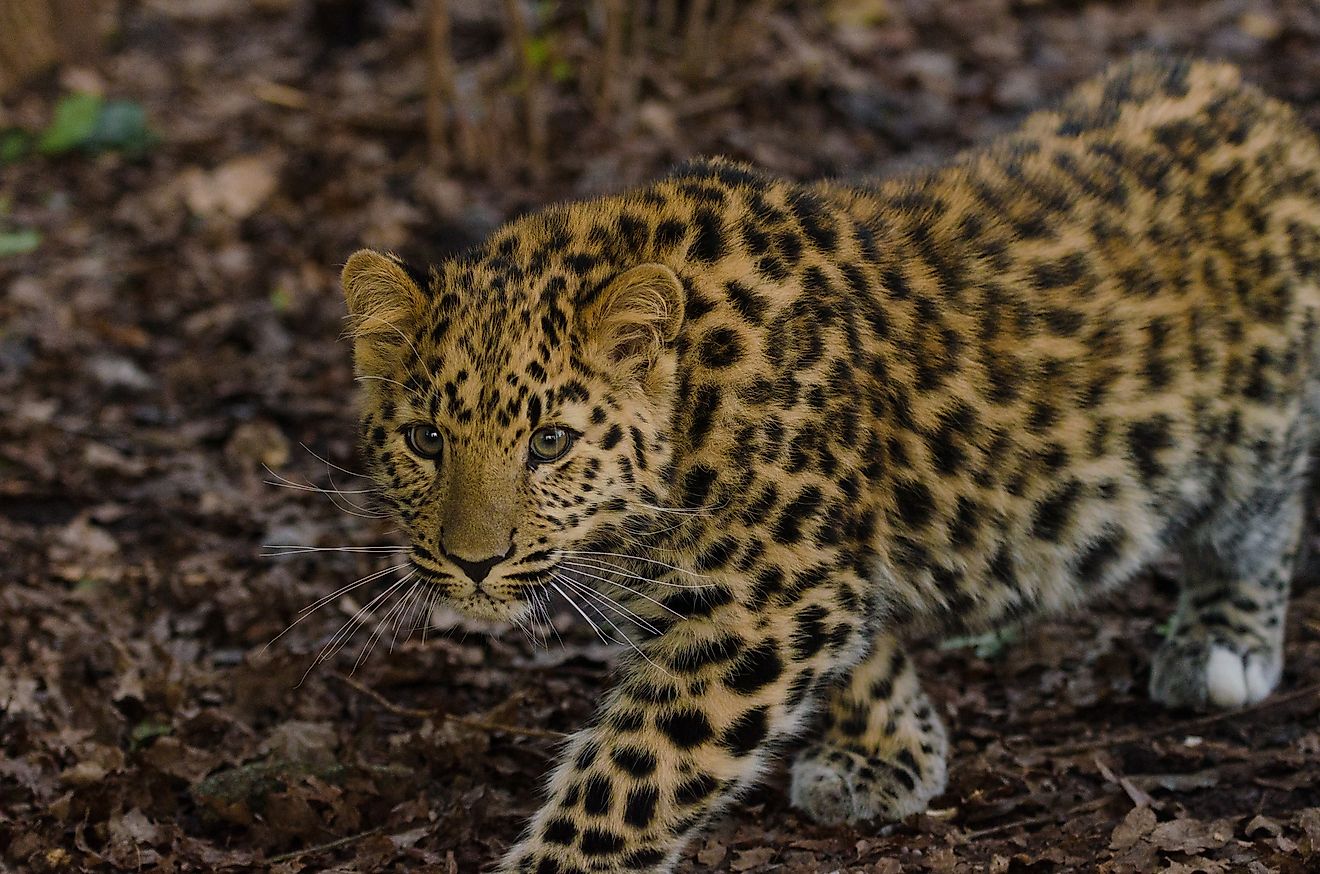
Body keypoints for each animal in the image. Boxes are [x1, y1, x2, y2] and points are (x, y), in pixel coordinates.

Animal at [335, 56, 1320, 874]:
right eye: (426, 439)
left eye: (549, 442)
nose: (474, 563)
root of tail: (1258, 101)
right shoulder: (813, 579)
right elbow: (860, 647)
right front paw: (889, 752)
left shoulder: (766, 606)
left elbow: (633, 771)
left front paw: (559, 863)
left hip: (1256, 415)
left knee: (1265, 511)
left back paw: (1222, 641)